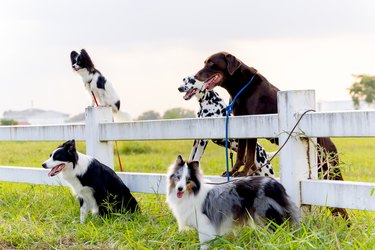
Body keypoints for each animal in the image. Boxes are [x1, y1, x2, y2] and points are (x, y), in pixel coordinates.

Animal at [197, 51, 350, 220]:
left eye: (211, 63)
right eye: (204, 62)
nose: (196, 75)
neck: (239, 86)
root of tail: (332, 146)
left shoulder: (252, 126)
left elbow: (249, 156)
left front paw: (243, 173)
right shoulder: (241, 125)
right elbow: (240, 155)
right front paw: (233, 172)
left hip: (329, 171)